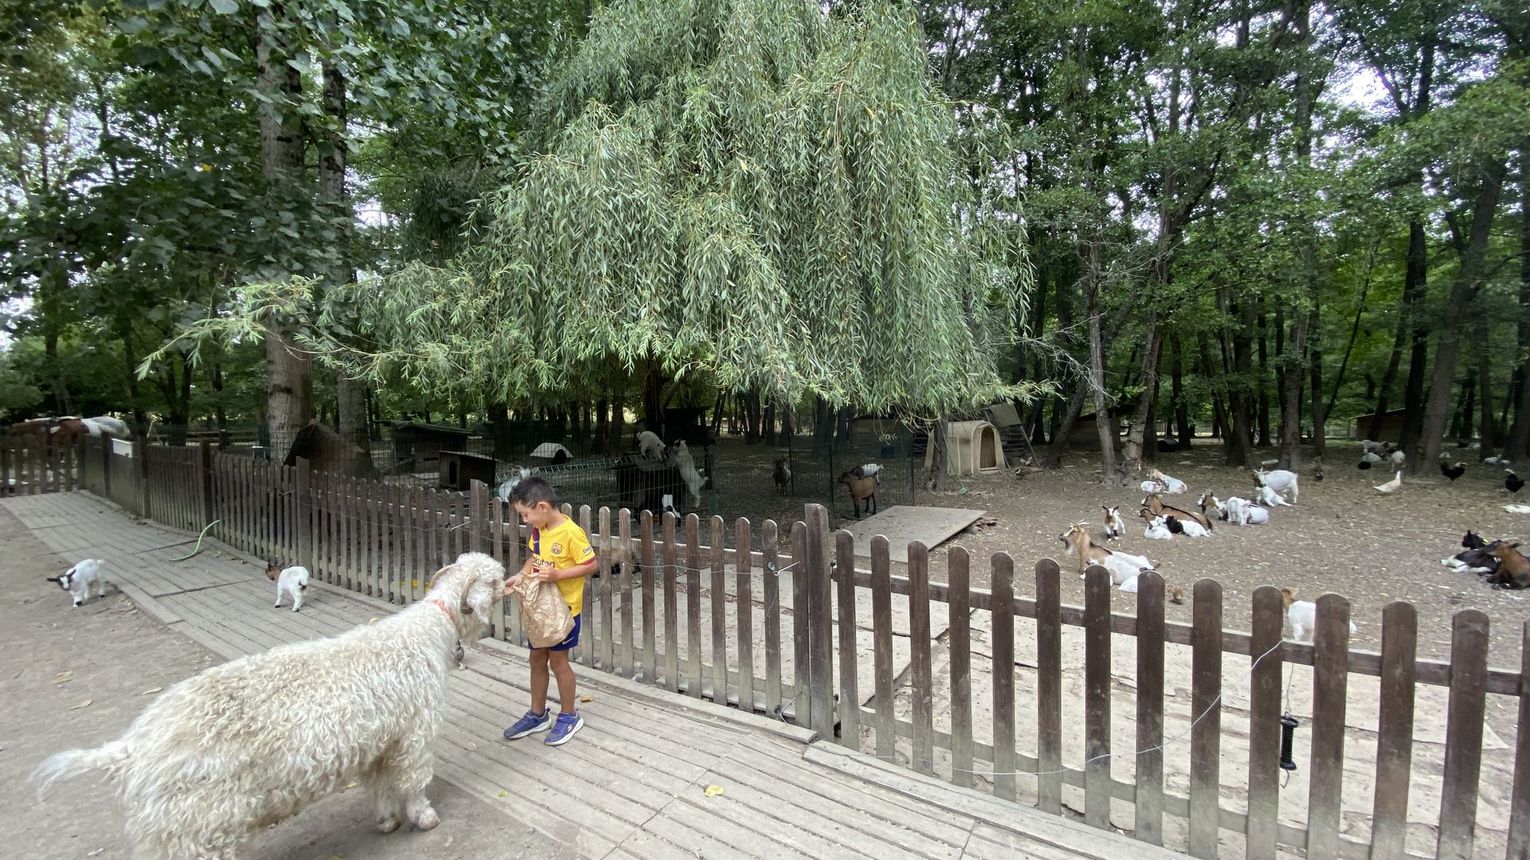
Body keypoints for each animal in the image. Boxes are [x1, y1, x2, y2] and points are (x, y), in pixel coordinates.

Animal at [34, 547, 507, 856]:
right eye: (497, 579)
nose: (510, 585)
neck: (427, 631)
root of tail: (134, 747)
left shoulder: (379, 740)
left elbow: (379, 787)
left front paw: (387, 821)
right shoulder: (414, 733)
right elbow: (411, 781)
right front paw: (424, 819)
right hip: (196, 824)